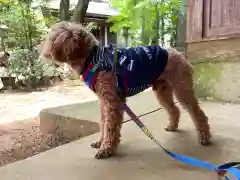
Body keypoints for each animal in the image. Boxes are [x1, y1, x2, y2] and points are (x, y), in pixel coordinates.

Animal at [39, 21, 212, 159]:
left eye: (53, 36)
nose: (42, 50)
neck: (93, 58)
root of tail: (178, 53)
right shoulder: (105, 101)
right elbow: (104, 124)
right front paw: (101, 143)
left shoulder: (112, 101)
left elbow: (110, 126)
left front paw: (106, 149)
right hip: (162, 90)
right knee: (174, 109)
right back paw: (172, 126)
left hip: (181, 87)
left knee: (197, 113)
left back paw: (205, 137)